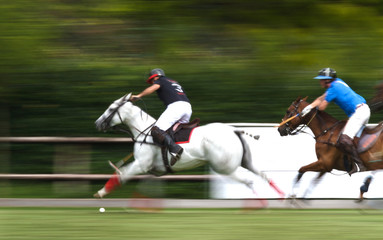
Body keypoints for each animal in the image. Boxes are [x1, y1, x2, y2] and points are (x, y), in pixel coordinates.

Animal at [94, 93, 284, 198]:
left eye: (110, 109)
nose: (97, 124)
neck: (143, 130)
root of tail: (234, 131)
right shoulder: (154, 170)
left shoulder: (141, 164)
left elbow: (122, 174)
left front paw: (101, 193)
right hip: (245, 162)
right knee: (263, 176)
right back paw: (285, 197)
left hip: (224, 167)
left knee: (248, 181)